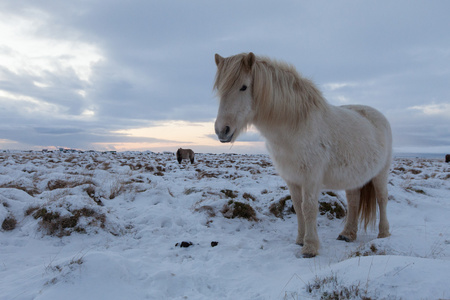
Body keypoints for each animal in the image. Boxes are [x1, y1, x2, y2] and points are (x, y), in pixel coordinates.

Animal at [213, 52, 392, 258]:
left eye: (243, 87)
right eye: (220, 89)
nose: (222, 131)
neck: (296, 126)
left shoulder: (311, 178)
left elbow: (309, 208)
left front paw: (310, 247)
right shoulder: (292, 178)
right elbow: (298, 207)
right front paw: (300, 240)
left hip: (381, 173)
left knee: (382, 199)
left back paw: (383, 234)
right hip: (353, 177)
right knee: (354, 202)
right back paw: (347, 234)